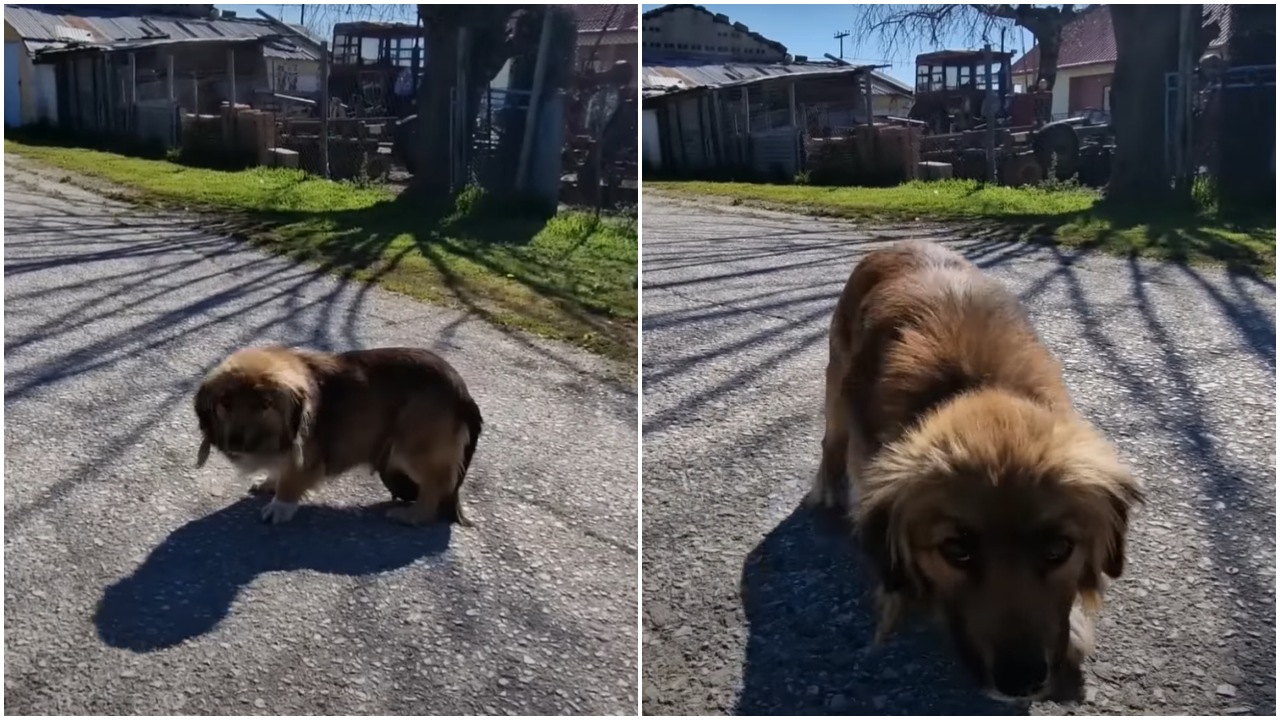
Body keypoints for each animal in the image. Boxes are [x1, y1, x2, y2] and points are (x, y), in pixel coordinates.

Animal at [192, 345, 481, 525]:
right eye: (225, 403)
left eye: (265, 405)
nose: (234, 444)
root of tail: (464, 394)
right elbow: (280, 470)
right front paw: (269, 482)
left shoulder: (305, 456)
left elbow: (290, 481)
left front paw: (280, 505)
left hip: (412, 448)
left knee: (437, 484)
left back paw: (414, 515)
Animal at [808, 240, 1141, 702]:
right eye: (956, 550)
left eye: (1059, 549)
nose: (1021, 681)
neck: (972, 385)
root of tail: (899, 243)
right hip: (837, 384)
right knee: (831, 441)